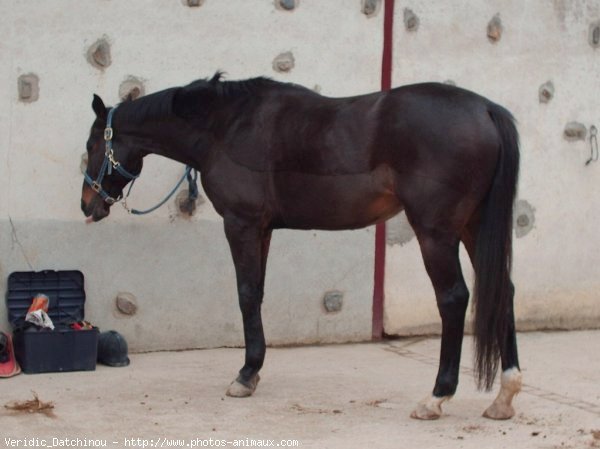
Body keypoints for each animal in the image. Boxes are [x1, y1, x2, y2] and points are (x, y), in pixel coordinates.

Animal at [82, 72, 524, 418]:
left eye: (91, 146)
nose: (88, 205)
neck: (226, 126)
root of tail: (485, 110)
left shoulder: (241, 224)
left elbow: (245, 294)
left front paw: (245, 376)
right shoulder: (263, 229)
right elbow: (257, 293)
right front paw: (253, 371)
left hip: (436, 232)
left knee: (453, 298)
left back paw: (436, 397)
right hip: (473, 227)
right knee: (503, 290)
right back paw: (504, 397)